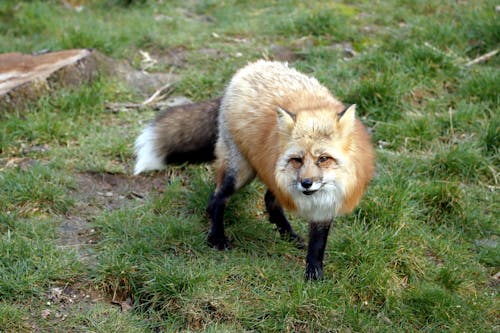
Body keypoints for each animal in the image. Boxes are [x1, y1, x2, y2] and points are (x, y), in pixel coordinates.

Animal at [134, 60, 376, 280]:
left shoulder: (327, 203)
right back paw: (217, 238)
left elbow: (317, 245)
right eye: (297, 160)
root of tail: (246, 69)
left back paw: (288, 236)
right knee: (217, 199)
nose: (306, 183)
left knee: (267, 200)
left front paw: (314, 274)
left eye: (323, 159)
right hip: (240, 171)